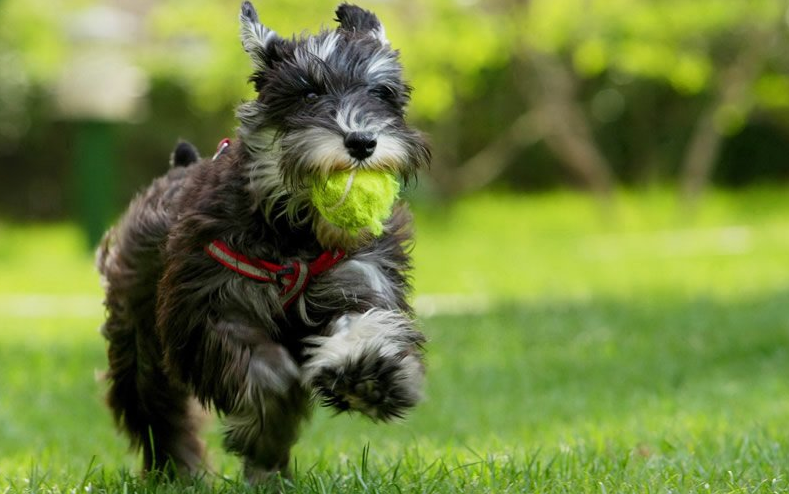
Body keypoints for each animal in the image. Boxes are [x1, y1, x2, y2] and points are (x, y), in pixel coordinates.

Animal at [99, 0, 434, 482]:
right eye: (309, 94)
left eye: (382, 92)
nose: (362, 141)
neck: (294, 232)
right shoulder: (213, 308)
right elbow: (263, 372)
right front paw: (269, 431)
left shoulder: (360, 279)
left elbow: (363, 323)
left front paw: (368, 374)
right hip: (139, 343)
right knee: (157, 412)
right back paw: (181, 471)